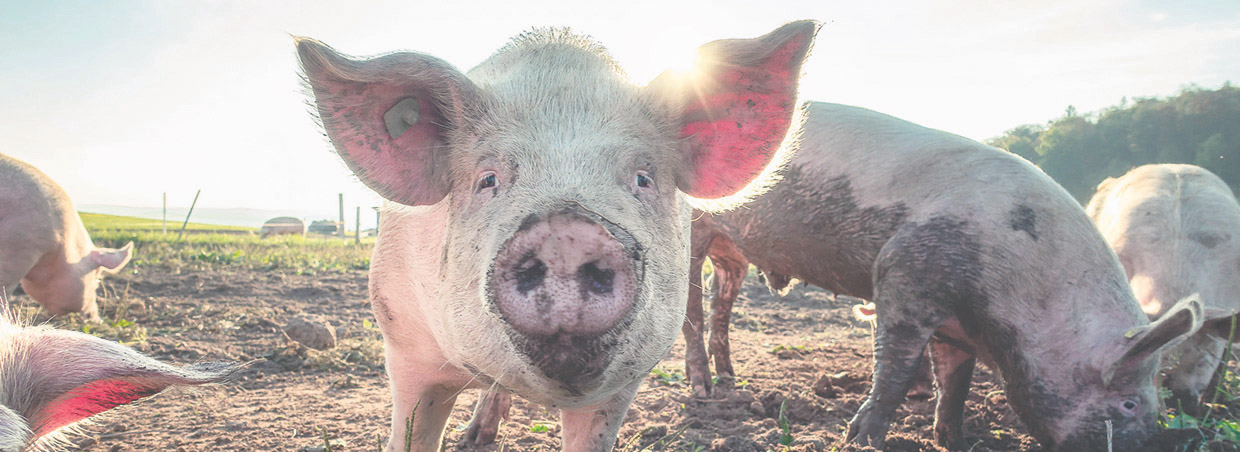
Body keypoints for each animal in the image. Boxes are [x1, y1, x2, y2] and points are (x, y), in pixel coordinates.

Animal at [295, 21, 820, 451]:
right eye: (488, 179)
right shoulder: (403, 345)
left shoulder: (624, 381)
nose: (566, 232)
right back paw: (475, 438)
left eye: (643, 178)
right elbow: (412, 432)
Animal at [679, 102, 1200, 451]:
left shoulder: (957, 324)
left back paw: (730, 381)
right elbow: (894, 368)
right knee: (690, 312)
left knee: (720, 302)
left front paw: (954, 440)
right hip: (693, 232)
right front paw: (861, 438)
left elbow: (956, 382)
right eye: (1129, 403)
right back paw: (703, 390)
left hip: (732, 253)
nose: (1166, 440)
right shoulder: (902, 277)